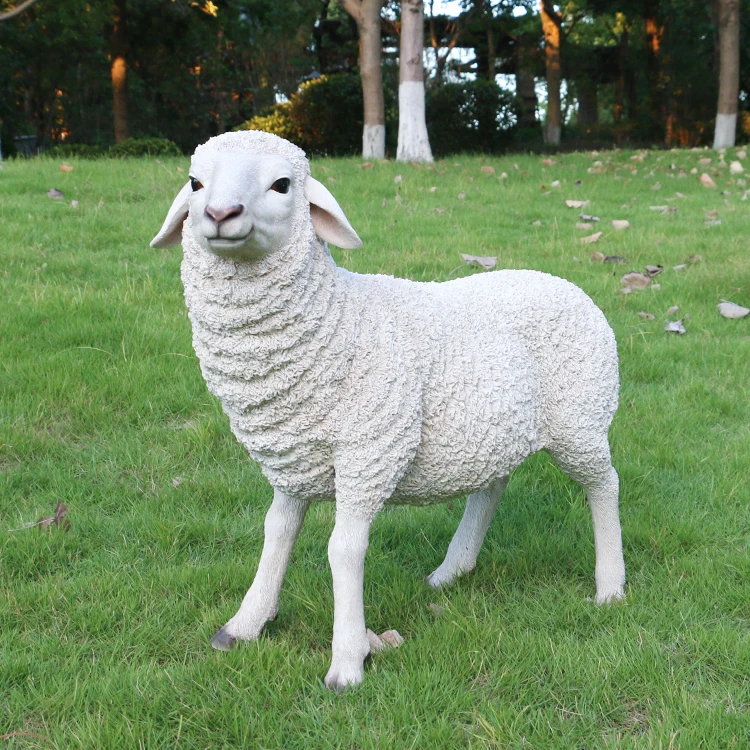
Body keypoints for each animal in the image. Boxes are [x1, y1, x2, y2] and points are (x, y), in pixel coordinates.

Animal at [151, 130, 626, 691]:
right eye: (194, 182)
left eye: (282, 184)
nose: (221, 213)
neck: (335, 319)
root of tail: (568, 284)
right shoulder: (293, 459)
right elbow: (276, 534)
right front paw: (245, 624)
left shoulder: (371, 451)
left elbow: (343, 548)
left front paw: (347, 662)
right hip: (493, 426)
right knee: (491, 487)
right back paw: (451, 571)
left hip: (581, 419)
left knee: (604, 486)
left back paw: (610, 588)